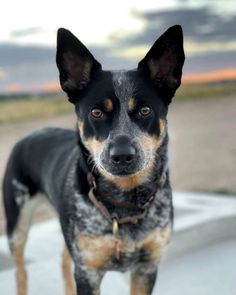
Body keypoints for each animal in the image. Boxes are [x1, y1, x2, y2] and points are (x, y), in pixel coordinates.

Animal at [3, 25, 184, 295]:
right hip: (17, 225)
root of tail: (29, 135)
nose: (122, 155)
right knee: (21, 271)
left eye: (145, 110)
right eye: (96, 112)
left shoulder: (147, 267)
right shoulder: (88, 270)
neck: (124, 201)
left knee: (63, 260)